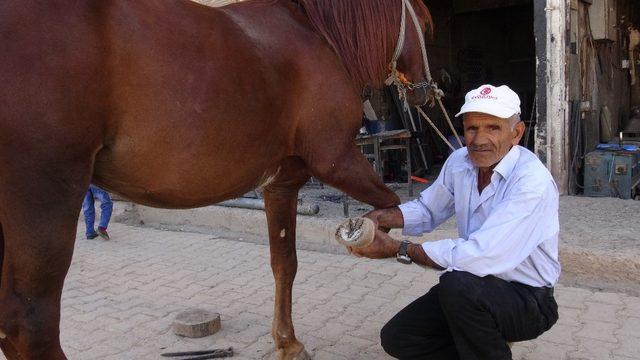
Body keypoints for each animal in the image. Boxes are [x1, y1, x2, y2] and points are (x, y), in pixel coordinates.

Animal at [1, 0, 436, 358]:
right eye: (426, 23)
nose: (428, 93)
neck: (316, 35)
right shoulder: (337, 160)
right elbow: (392, 207)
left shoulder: (281, 185)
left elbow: (285, 263)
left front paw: (287, 342)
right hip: (46, 198)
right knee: (30, 326)